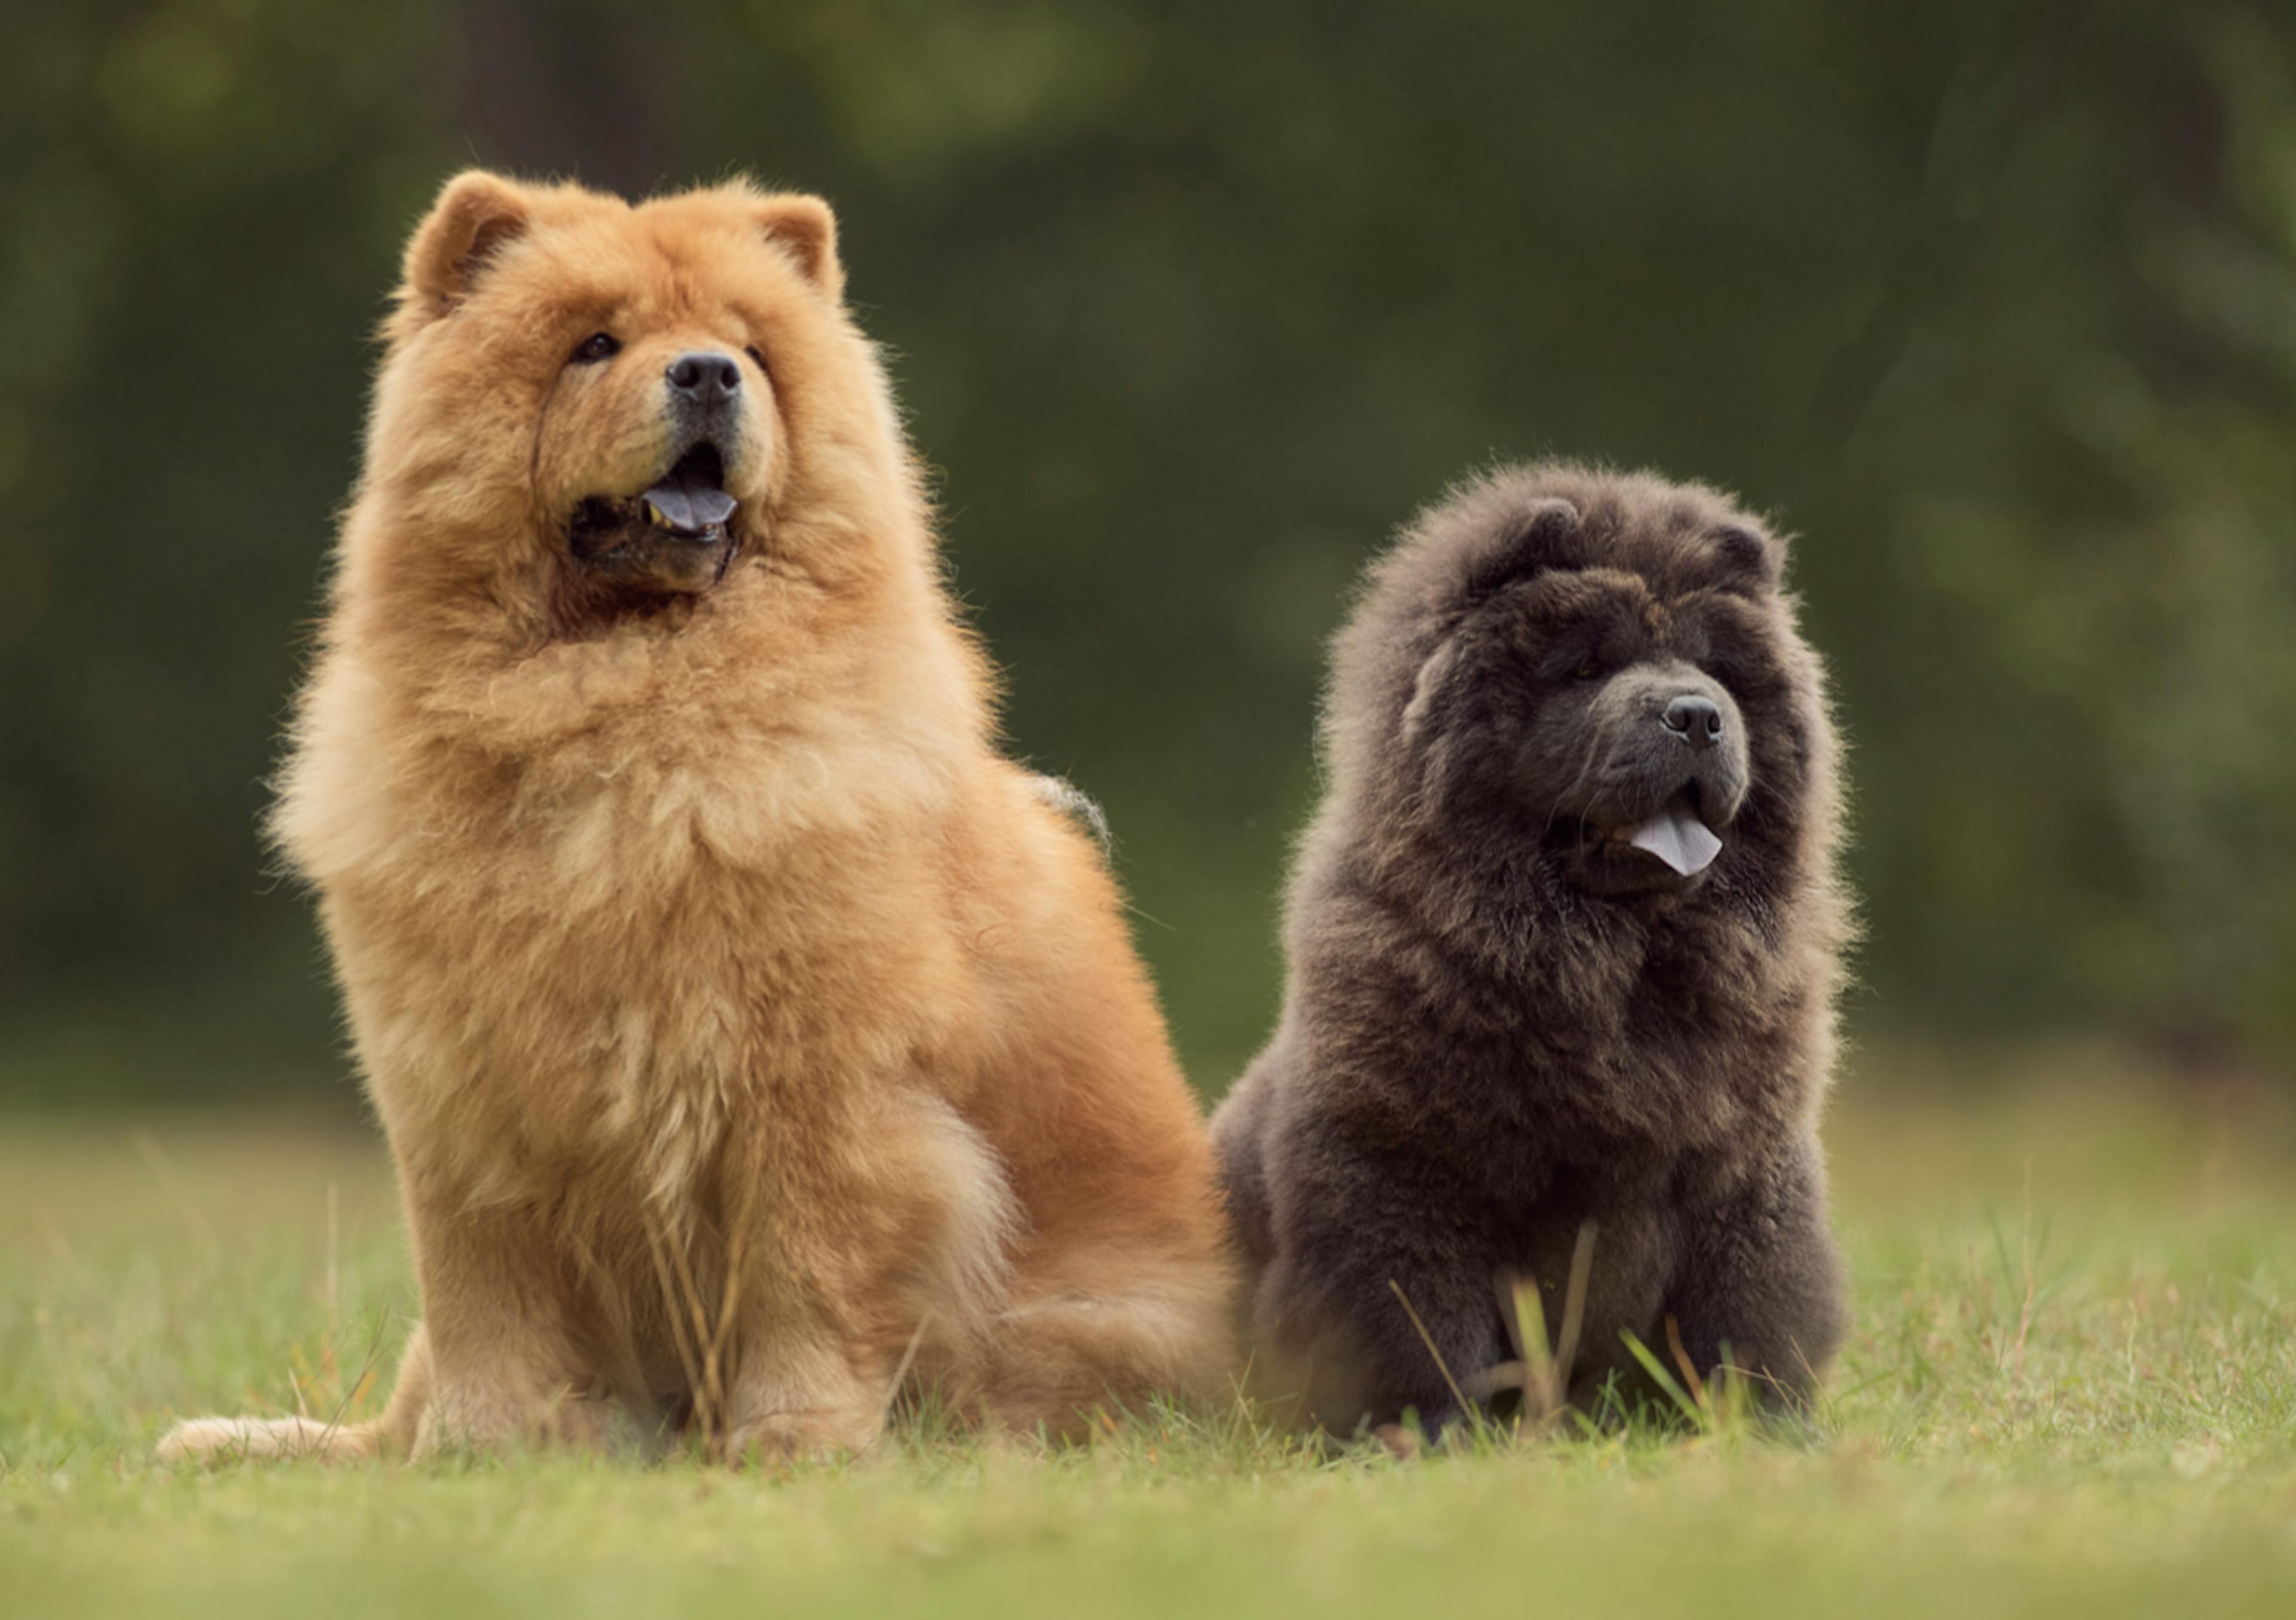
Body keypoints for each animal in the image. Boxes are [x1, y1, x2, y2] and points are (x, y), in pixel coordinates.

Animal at [161, 173, 1239, 1468]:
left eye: (752, 351)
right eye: (593, 346)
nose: (710, 374)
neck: (613, 706)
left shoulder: (812, 1090)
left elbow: (803, 1277)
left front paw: (793, 1439)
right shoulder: (456, 1094)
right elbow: (479, 1296)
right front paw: (481, 1450)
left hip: (1072, 1334)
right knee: (388, 1411)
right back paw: (241, 1439)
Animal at [1221, 463, 1846, 1422]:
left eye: (1715, 668)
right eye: (1587, 666)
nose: (1697, 715)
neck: (1617, 972)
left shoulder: (1747, 1174)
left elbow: (1749, 1309)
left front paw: (1761, 1426)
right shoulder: (1400, 1171)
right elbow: (1421, 1318)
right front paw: (1427, 1431)